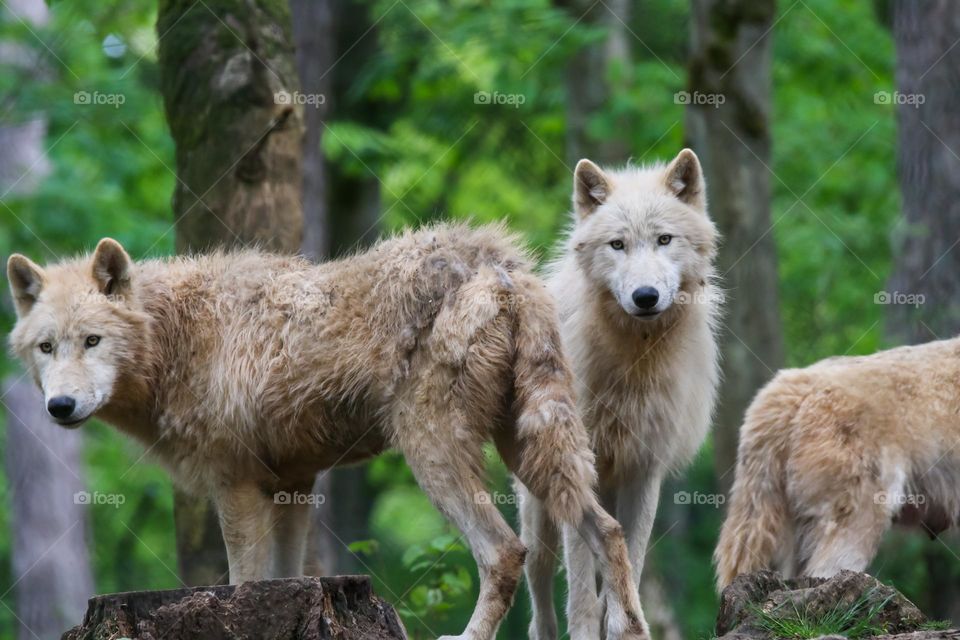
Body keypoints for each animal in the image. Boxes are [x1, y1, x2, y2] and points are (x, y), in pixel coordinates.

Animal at [5, 224, 652, 640]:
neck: (177, 341)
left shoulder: (234, 487)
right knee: (608, 530)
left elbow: (244, 582)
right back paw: (631, 629)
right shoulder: (291, 486)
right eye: (46, 347)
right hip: (535, 451)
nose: (60, 406)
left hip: (435, 454)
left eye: (92, 341)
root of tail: (499, 262)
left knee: (505, 552)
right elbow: (284, 578)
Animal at [516, 150, 720, 640]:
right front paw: (588, 630)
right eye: (617, 245)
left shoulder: (645, 471)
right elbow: (581, 587)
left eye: (664, 240)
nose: (645, 296)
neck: (636, 362)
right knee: (539, 594)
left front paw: (624, 625)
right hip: (537, 513)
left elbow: (630, 558)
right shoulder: (574, 470)